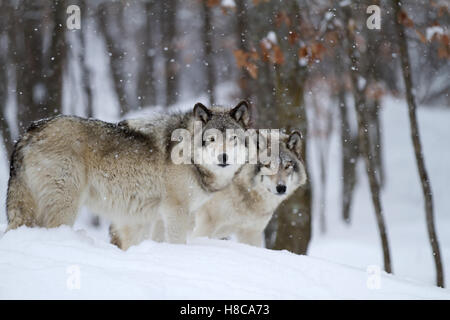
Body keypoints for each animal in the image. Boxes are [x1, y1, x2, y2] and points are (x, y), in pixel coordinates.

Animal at [7, 101, 251, 249]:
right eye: (211, 140)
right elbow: (177, 242)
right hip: (65, 206)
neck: (189, 157)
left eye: (233, 139)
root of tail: (28, 133)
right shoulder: (176, 211)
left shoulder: (158, 216)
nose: (223, 157)